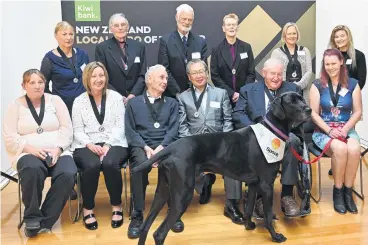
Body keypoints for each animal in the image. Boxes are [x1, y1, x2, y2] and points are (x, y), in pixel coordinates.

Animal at [131, 91, 312, 243]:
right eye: (291, 102)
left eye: (302, 99)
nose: (309, 110)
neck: (271, 131)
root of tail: (171, 148)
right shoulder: (266, 185)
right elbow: (267, 215)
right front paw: (275, 236)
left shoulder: (254, 184)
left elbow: (248, 208)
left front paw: (248, 226)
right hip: (182, 194)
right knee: (159, 233)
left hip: (162, 191)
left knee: (145, 227)